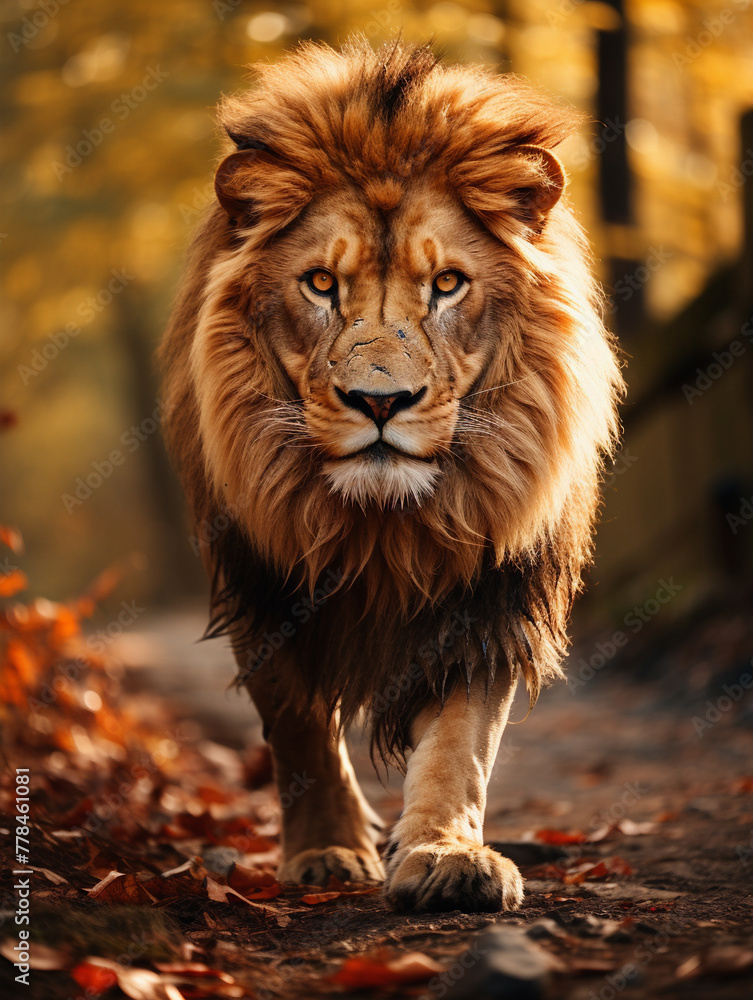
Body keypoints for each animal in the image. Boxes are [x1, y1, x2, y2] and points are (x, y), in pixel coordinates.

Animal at [160, 39, 624, 913]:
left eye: (446, 284)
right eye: (320, 283)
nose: (380, 401)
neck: (381, 528)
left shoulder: (484, 590)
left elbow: (459, 743)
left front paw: (447, 855)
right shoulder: (264, 576)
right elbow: (298, 726)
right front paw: (327, 851)